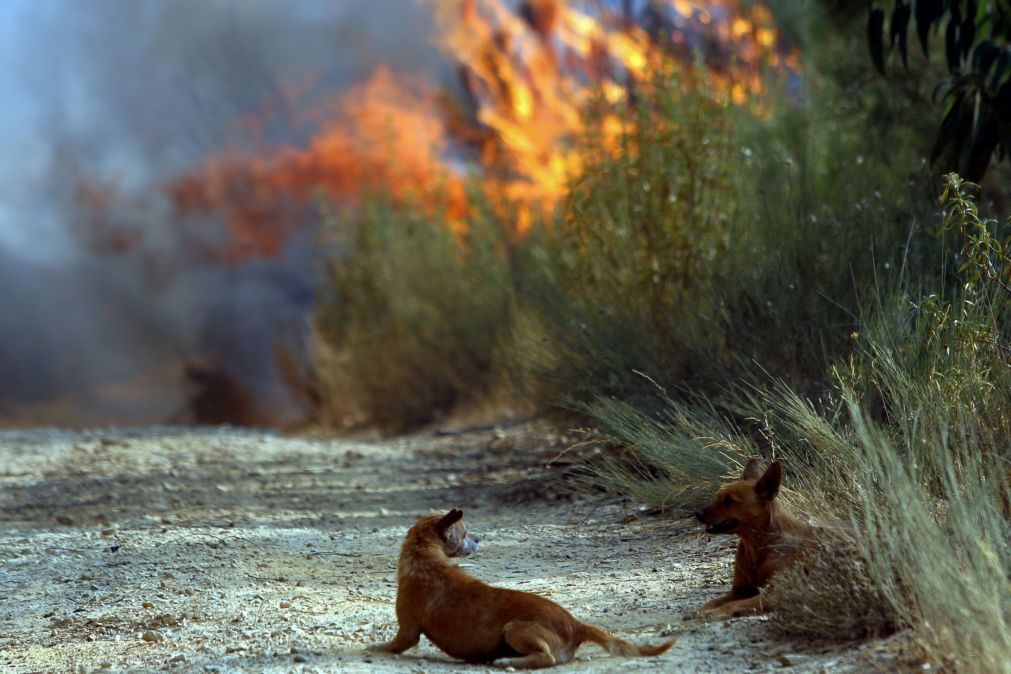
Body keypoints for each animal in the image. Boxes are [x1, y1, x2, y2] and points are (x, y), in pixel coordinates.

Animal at [368, 509, 675, 666]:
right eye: (465, 533)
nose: (479, 539)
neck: (426, 557)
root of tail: (576, 625)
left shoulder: (407, 631)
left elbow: (393, 645)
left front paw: (375, 648)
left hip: (514, 629)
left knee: (546, 658)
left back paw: (506, 662)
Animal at [687, 460, 820, 618]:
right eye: (717, 496)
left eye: (729, 501)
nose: (697, 513)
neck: (756, 547)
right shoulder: (739, 591)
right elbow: (713, 601)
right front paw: (699, 610)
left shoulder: (774, 593)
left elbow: (733, 604)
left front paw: (713, 612)